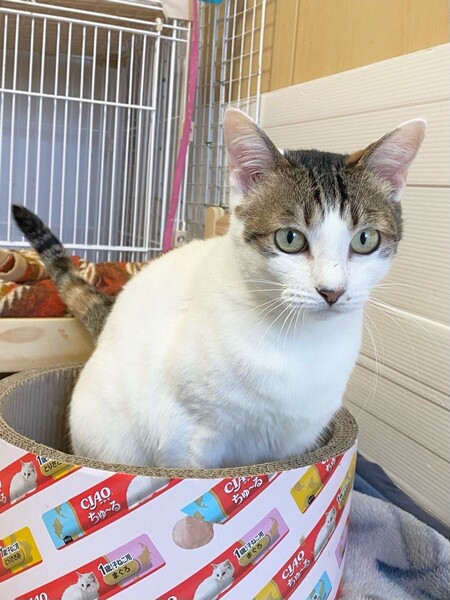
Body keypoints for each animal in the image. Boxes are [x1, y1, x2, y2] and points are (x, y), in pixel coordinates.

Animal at [12, 108, 425, 469]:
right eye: (290, 239)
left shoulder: (295, 442)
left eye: (365, 239)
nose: (332, 291)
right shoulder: (187, 433)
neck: (298, 342)